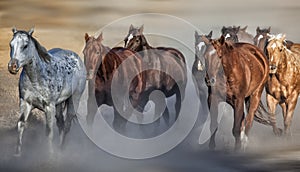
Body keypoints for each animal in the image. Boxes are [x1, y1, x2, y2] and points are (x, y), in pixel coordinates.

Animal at [7, 27, 86, 156]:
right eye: (11, 45)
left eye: (25, 45)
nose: (12, 66)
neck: (36, 78)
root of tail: (77, 58)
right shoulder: (25, 103)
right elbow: (21, 125)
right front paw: (17, 154)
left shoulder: (49, 107)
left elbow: (48, 131)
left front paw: (50, 155)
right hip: (59, 104)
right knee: (61, 123)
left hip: (74, 99)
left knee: (67, 124)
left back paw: (62, 149)